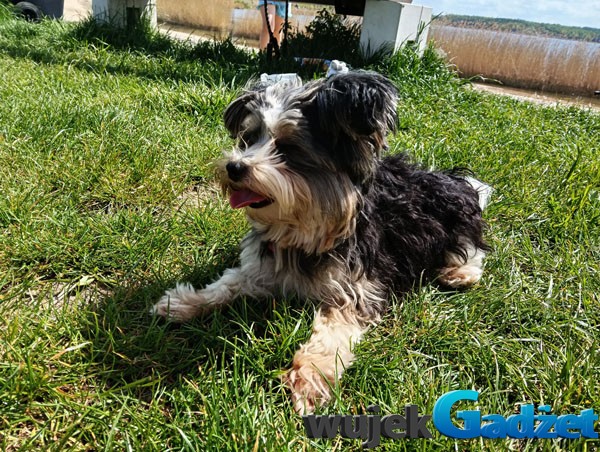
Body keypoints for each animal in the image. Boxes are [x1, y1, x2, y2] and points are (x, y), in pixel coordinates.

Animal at [151, 72, 491, 414]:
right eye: (248, 139)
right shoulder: (262, 266)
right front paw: (185, 302)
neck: (303, 229)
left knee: (470, 246)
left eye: (287, 148)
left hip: (452, 215)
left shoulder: (355, 290)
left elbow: (331, 335)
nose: (234, 167)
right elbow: (227, 284)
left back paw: (460, 272)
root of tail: (455, 180)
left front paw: (308, 378)